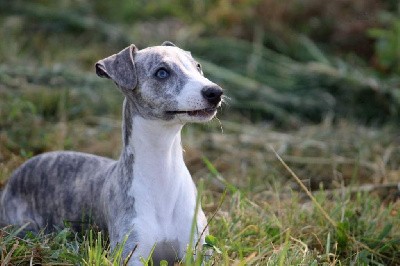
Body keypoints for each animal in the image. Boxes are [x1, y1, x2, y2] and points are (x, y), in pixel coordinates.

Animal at [0, 41, 223, 264]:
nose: (215, 92)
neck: (163, 175)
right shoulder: (131, 254)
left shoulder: (199, 252)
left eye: (198, 66)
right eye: (162, 72)